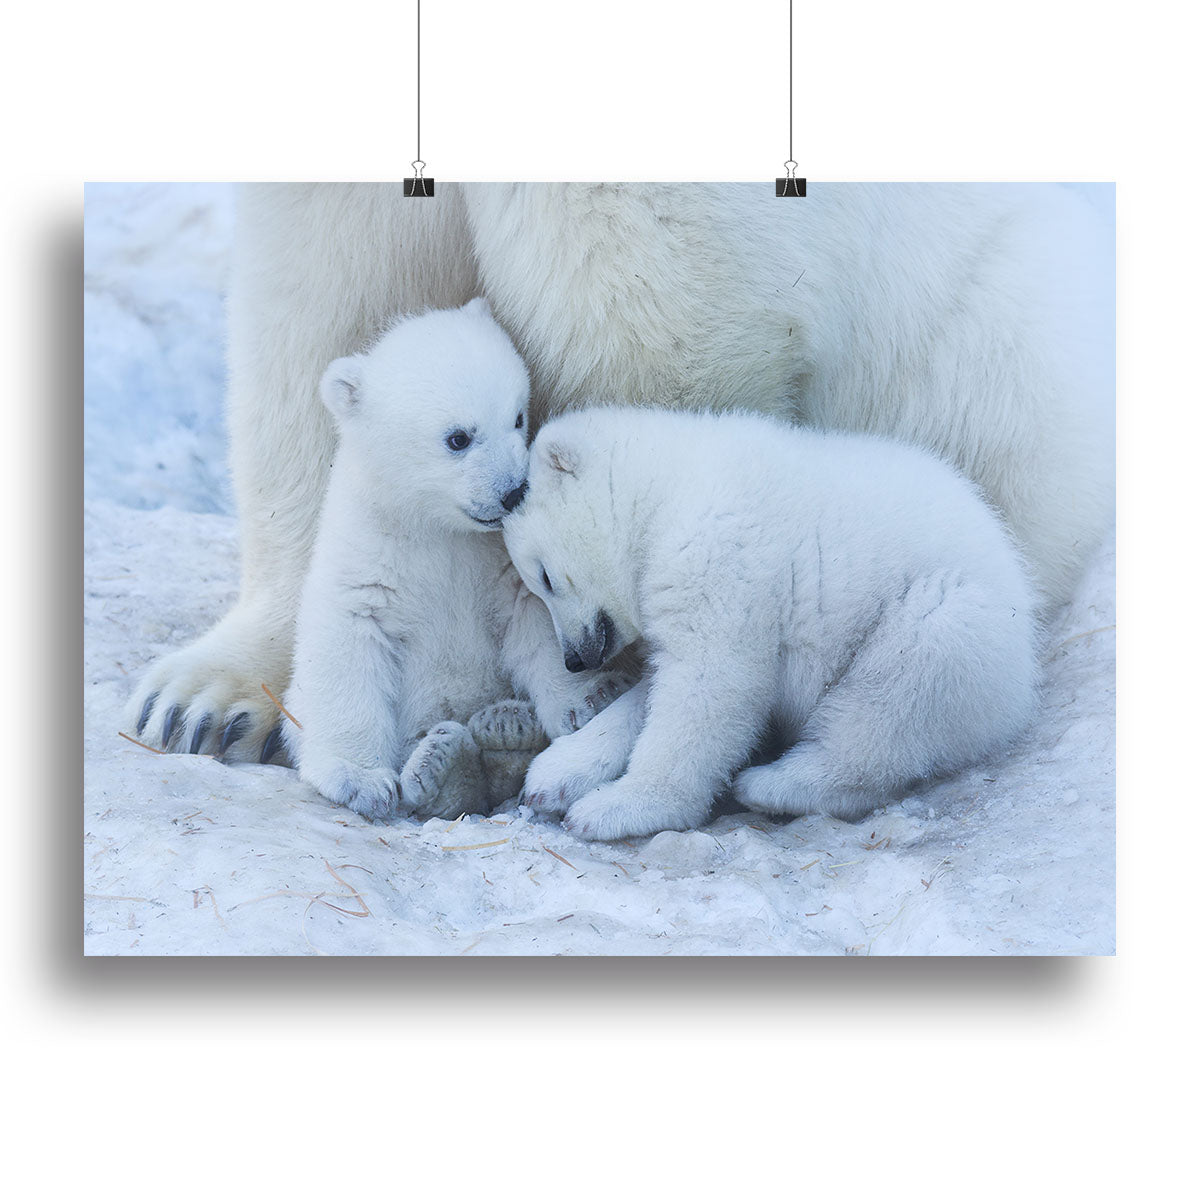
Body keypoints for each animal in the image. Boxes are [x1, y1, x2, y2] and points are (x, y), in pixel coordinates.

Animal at [280, 300, 632, 821]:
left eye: (518, 417)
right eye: (458, 438)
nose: (513, 492)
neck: (437, 530)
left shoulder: (497, 564)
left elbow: (536, 621)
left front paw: (590, 697)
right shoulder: (366, 561)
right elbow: (347, 646)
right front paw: (358, 779)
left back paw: (506, 728)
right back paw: (444, 765)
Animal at [502, 407, 1040, 842]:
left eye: (544, 577)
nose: (574, 659)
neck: (668, 490)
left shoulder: (718, 556)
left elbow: (709, 687)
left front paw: (615, 807)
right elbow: (655, 686)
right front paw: (557, 770)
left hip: (949, 618)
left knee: (891, 700)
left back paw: (771, 783)